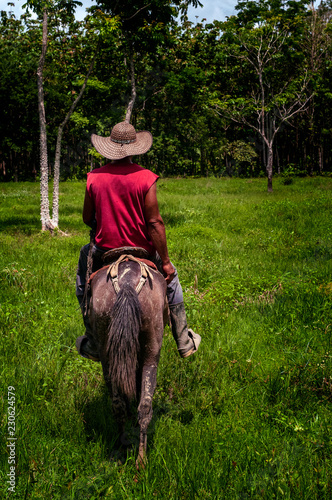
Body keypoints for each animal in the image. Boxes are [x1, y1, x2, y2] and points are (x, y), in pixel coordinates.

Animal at [87, 250, 167, 468]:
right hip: (151, 350)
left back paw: (123, 447)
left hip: (107, 348)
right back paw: (142, 458)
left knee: (118, 404)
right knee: (146, 405)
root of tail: (127, 282)